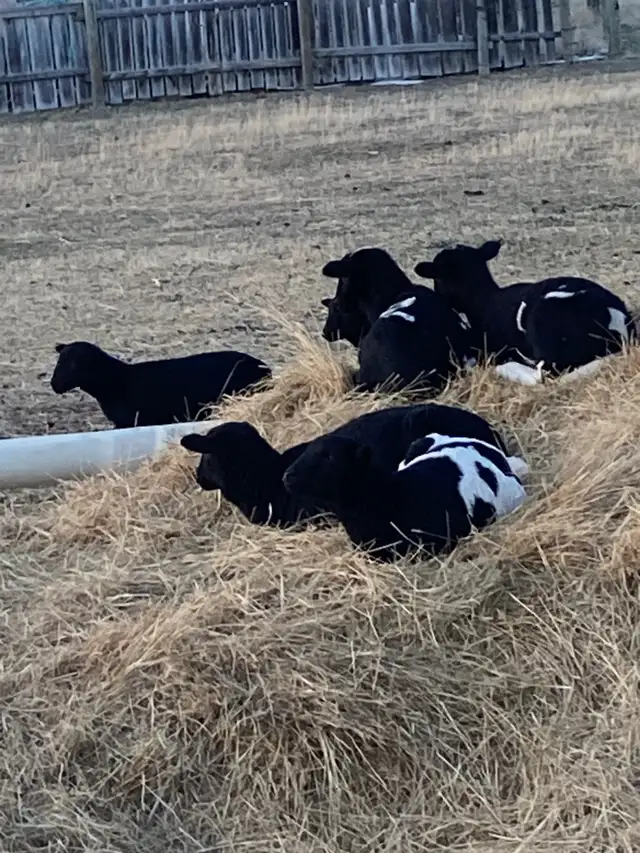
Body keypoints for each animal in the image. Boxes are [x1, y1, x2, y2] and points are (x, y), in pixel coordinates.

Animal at [50, 341, 272, 429]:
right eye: (59, 361)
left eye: (73, 364)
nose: (54, 385)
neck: (115, 381)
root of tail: (265, 368)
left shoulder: (131, 422)